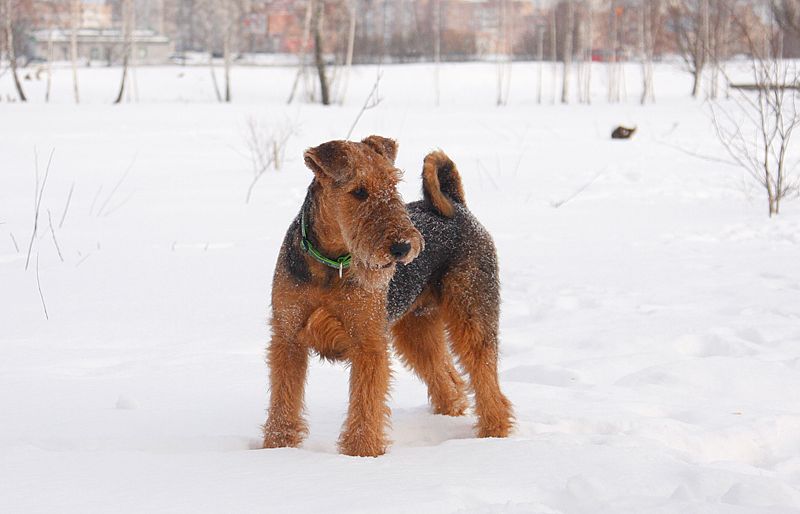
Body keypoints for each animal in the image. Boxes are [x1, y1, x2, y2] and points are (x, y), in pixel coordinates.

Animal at [262, 134, 512, 454]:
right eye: (359, 191)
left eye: (393, 184)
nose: (403, 247)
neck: (332, 264)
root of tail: (457, 205)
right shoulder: (288, 337)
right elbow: (284, 399)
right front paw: (277, 448)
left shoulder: (368, 342)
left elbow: (365, 404)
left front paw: (361, 453)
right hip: (416, 328)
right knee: (449, 379)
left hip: (472, 315)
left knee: (486, 378)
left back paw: (494, 433)